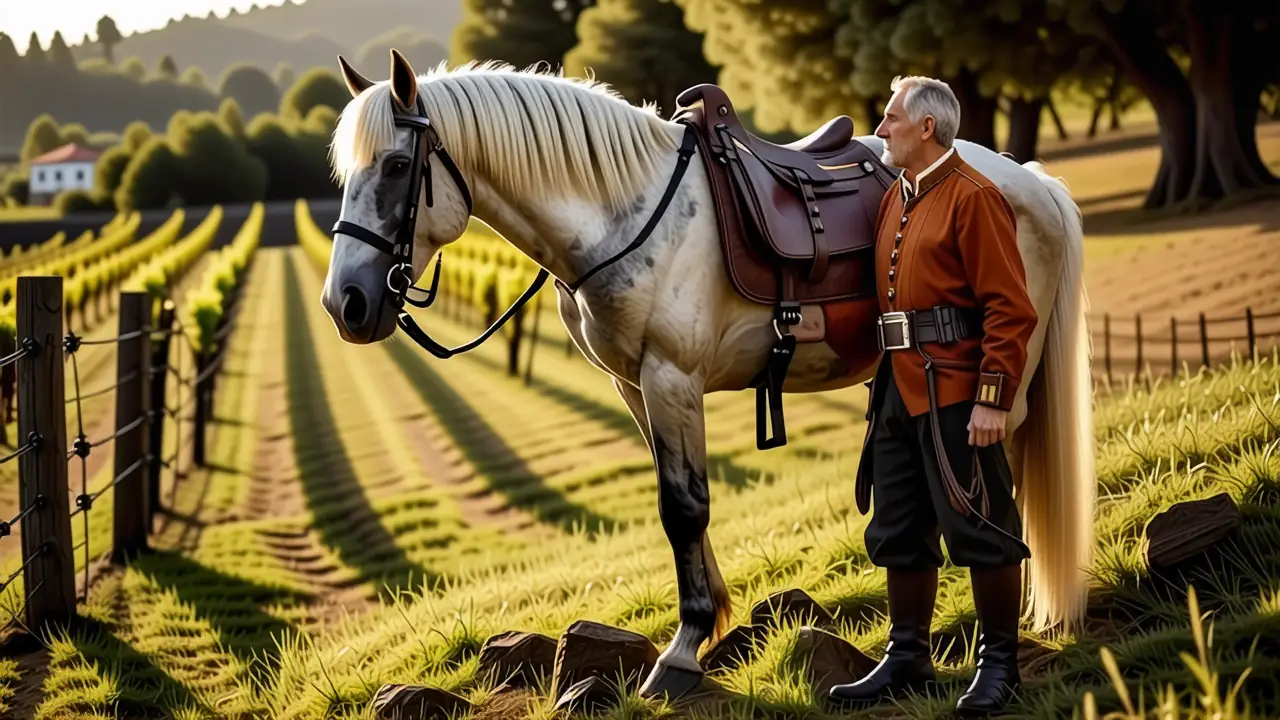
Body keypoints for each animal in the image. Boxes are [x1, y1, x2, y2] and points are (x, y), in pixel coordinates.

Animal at [318, 50, 1096, 700]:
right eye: (348, 176)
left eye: (396, 168)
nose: (343, 303)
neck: (624, 212)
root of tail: (1028, 179)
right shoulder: (637, 387)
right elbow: (678, 501)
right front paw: (711, 624)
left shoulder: (672, 378)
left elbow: (685, 508)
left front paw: (683, 650)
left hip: (1000, 384)